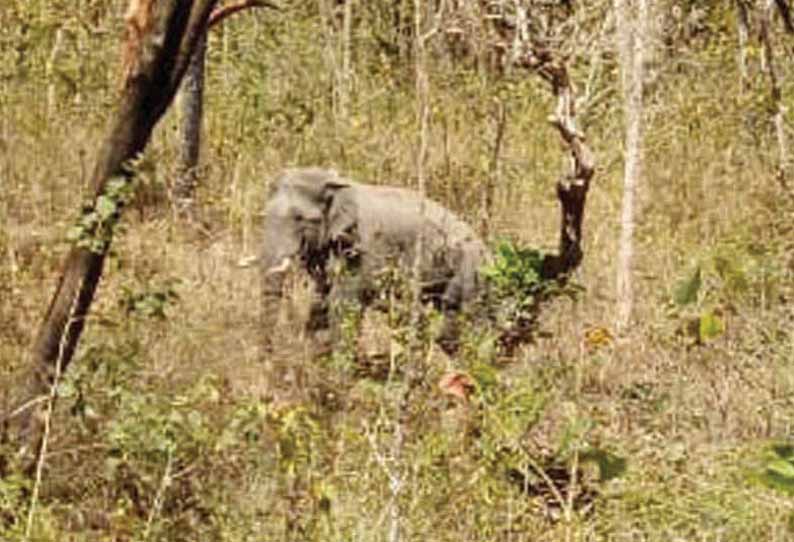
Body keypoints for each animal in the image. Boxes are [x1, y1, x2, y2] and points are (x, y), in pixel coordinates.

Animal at [258, 169, 488, 352]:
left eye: (300, 218)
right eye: (264, 215)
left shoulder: (363, 246)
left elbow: (344, 301)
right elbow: (321, 297)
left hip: (468, 270)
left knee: (457, 314)